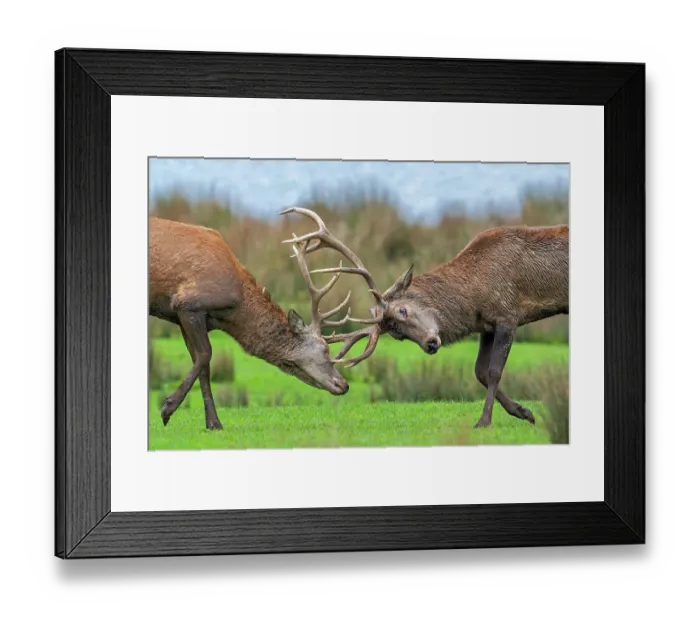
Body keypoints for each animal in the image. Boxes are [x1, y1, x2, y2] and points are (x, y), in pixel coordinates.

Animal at [148, 215, 383, 431]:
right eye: (325, 350)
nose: (343, 384)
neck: (233, 309)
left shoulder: (185, 317)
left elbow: (202, 365)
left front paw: (213, 423)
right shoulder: (187, 304)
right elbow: (206, 354)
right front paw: (167, 408)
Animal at [281, 208, 569, 429]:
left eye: (403, 310)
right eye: (397, 334)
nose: (431, 344)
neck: (476, 293)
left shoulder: (507, 314)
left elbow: (494, 371)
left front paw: (484, 421)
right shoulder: (486, 325)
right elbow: (479, 372)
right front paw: (524, 412)